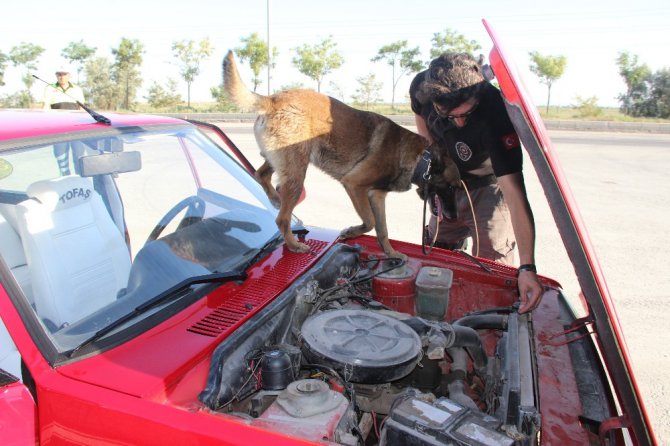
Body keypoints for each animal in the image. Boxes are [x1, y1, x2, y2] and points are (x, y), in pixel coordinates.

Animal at [223, 51, 460, 260]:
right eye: (450, 187)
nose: (454, 217)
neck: (422, 160)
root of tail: (272, 99)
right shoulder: (354, 185)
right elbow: (370, 221)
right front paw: (351, 231)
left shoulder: (377, 196)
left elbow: (382, 229)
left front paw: (390, 253)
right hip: (297, 173)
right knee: (282, 218)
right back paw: (293, 244)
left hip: (284, 162)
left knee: (261, 174)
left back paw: (274, 198)